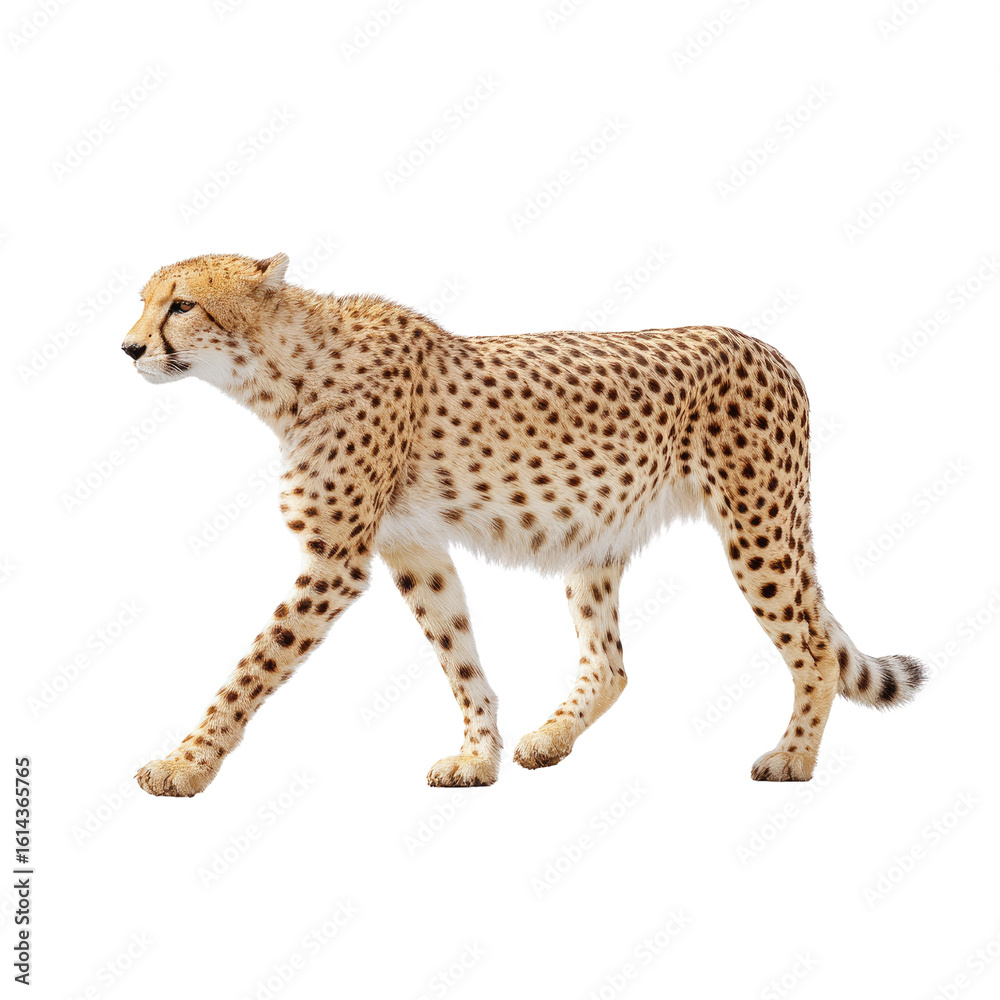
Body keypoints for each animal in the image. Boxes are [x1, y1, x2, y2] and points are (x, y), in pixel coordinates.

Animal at [121, 252, 924, 795]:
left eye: (181, 305)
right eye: (145, 301)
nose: (128, 348)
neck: (278, 370)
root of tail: (771, 349)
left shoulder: (335, 561)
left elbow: (253, 666)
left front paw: (185, 763)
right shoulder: (414, 547)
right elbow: (457, 653)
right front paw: (481, 756)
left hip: (758, 529)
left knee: (815, 649)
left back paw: (793, 757)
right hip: (599, 538)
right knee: (610, 664)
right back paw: (552, 738)